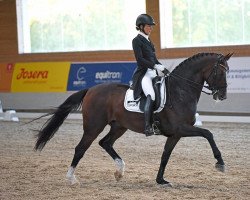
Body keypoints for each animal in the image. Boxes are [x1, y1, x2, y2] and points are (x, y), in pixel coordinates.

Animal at [34, 52, 233, 186]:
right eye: (220, 72)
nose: (222, 96)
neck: (180, 91)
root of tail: (90, 89)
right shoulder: (181, 129)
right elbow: (208, 133)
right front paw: (220, 163)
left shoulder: (174, 134)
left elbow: (165, 156)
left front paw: (161, 180)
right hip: (94, 126)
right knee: (81, 148)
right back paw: (71, 178)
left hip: (119, 127)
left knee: (105, 143)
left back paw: (119, 171)